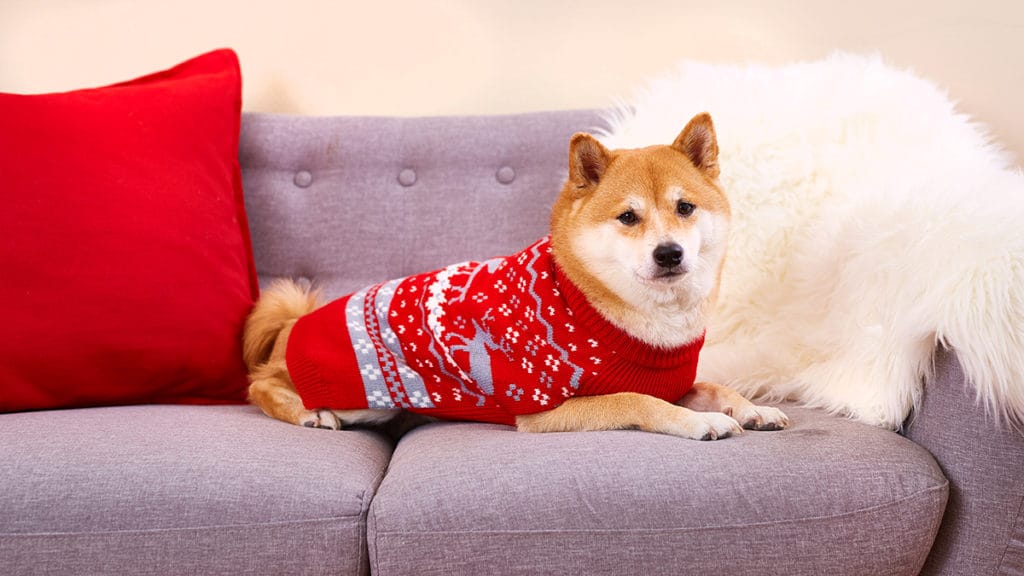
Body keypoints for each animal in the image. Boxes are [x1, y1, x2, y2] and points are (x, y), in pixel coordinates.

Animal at [243, 112, 786, 438]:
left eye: (685, 207)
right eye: (628, 217)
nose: (669, 253)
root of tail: (295, 322)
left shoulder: (674, 380)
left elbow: (715, 387)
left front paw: (750, 408)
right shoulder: (547, 409)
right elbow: (638, 401)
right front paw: (700, 423)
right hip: (361, 397)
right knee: (260, 386)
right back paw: (307, 411)